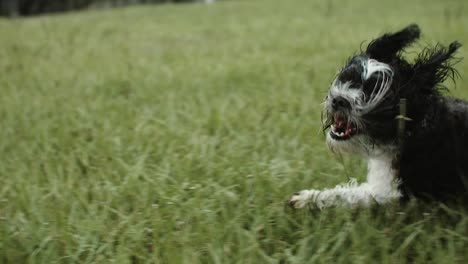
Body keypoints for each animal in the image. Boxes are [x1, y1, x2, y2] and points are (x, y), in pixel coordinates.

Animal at [288, 25, 466, 210]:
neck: (411, 129)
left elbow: (352, 195)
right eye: (348, 77)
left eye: (381, 96)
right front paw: (309, 198)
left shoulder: (394, 193)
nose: (339, 100)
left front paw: (311, 198)